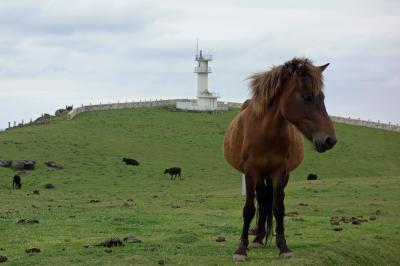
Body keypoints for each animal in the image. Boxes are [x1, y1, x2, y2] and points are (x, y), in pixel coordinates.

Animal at [223, 57, 336, 260]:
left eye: (322, 97)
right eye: (307, 97)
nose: (330, 140)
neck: (265, 132)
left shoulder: (279, 172)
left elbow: (278, 208)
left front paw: (283, 246)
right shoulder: (251, 171)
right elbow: (249, 209)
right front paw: (241, 248)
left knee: (271, 201)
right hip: (259, 176)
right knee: (261, 201)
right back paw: (258, 239)